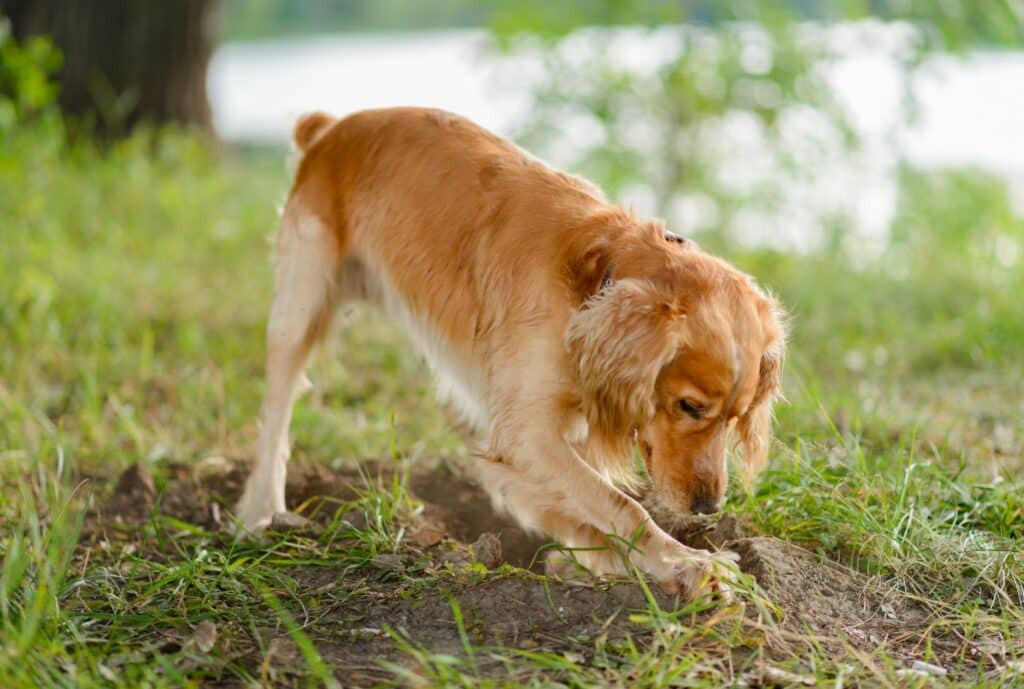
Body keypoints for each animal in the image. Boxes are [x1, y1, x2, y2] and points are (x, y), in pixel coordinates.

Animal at [235, 107, 786, 597]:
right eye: (689, 406)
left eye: (736, 417)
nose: (709, 507)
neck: (595, 279)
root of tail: (330, 128)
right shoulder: (529, 432)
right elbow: (620, 504)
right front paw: (686, 563)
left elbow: (583, 502)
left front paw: (601, 559)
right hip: (298, 309)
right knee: (276, 418)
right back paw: (259, 513)